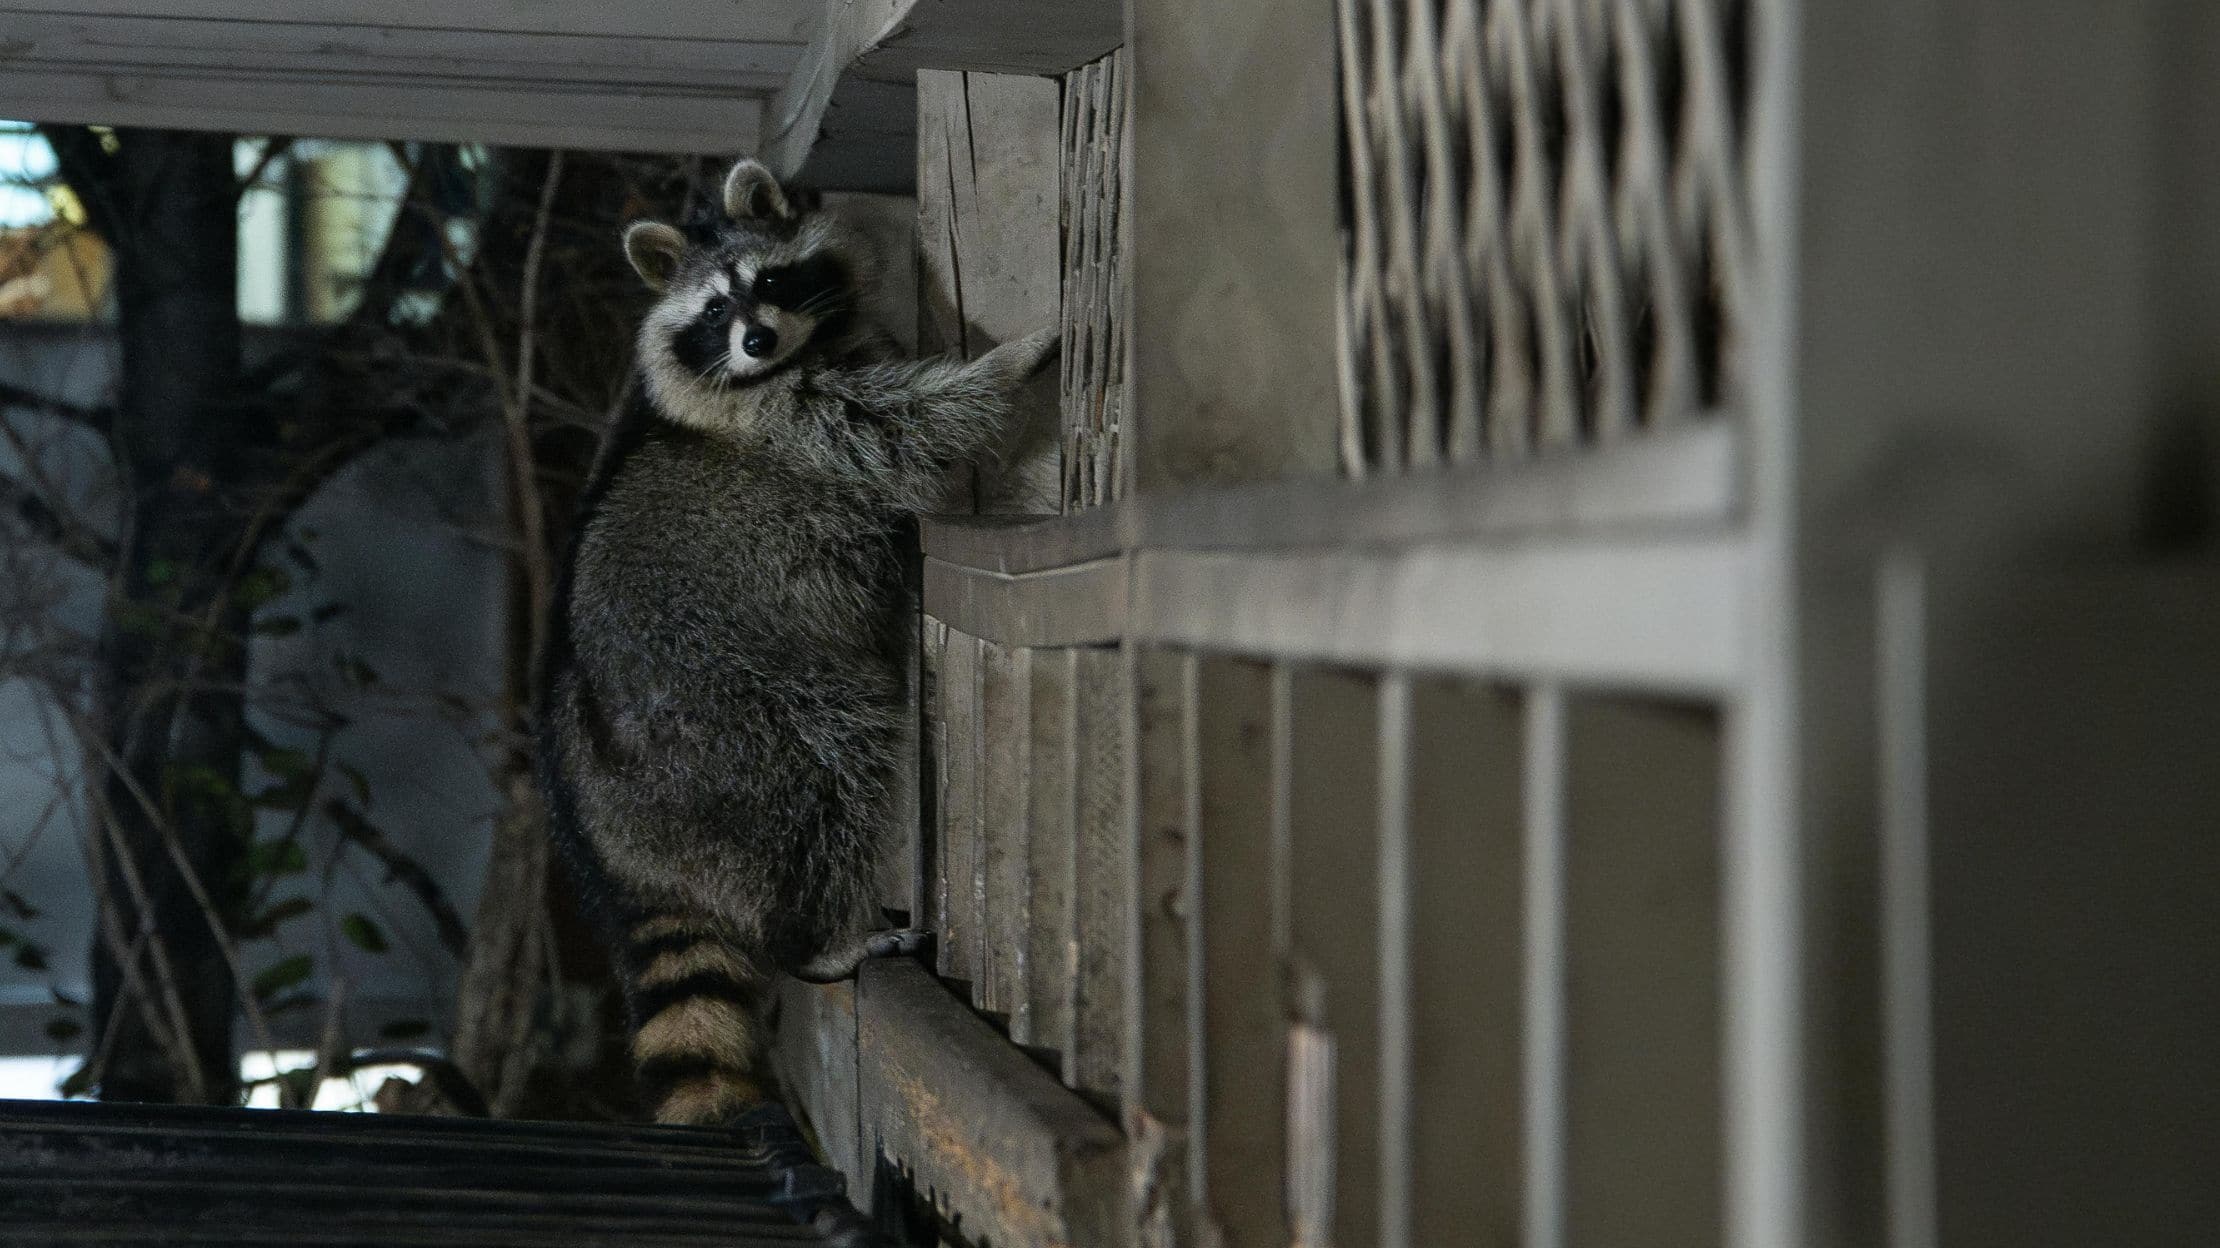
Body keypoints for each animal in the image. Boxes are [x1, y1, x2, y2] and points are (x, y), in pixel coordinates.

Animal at [540, 158, 1055, 1125]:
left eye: (770, 284)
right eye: (713, 312)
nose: (755, 339)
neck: (794, 358)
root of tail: (613, 842)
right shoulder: (797, 421)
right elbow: (907, 426)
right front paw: (1007, 364)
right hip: (732, 727)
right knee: (828, 773)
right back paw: (816, 939)